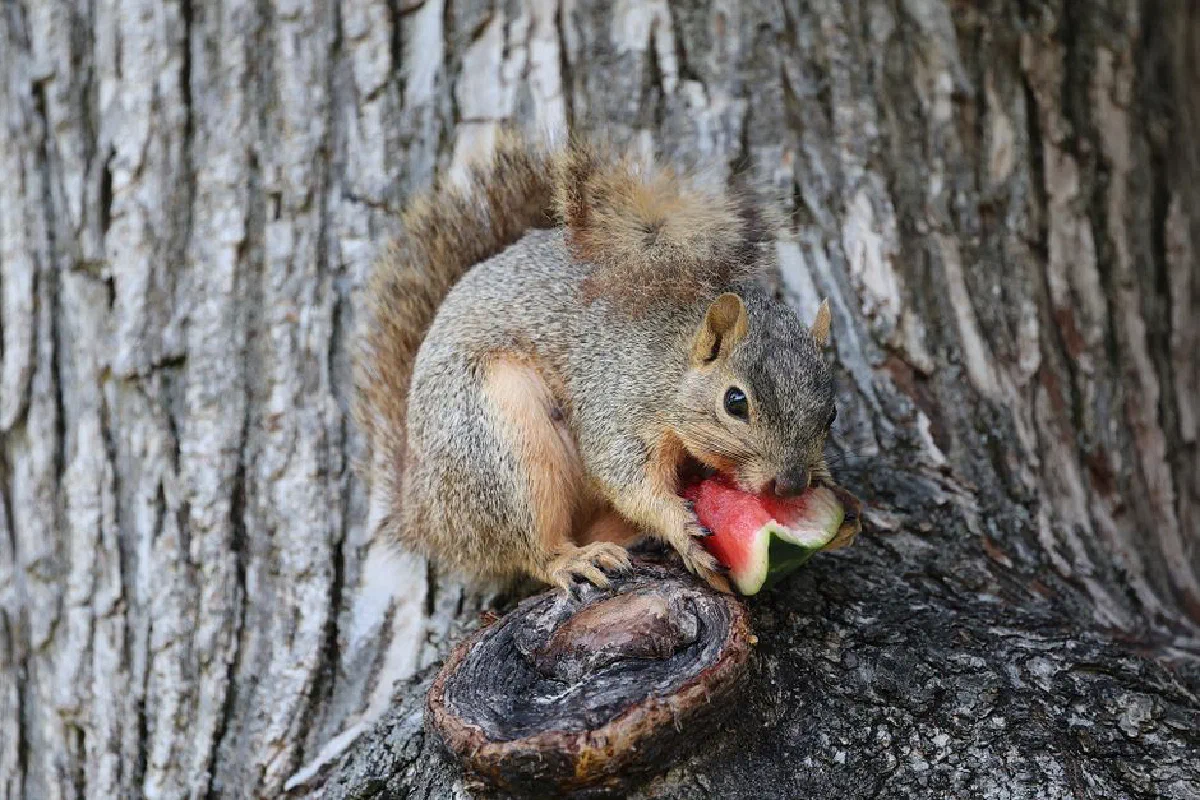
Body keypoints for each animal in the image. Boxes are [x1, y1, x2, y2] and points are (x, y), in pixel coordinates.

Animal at [353, 132, 837, 595]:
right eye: (735, 403)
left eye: (831, 413)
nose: (791, 486)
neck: (675, 357)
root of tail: (424, 511)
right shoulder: (620, 395)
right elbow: (623, 474)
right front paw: (679, 527)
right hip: (498, 444)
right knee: (530, 545)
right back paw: (574, 559)